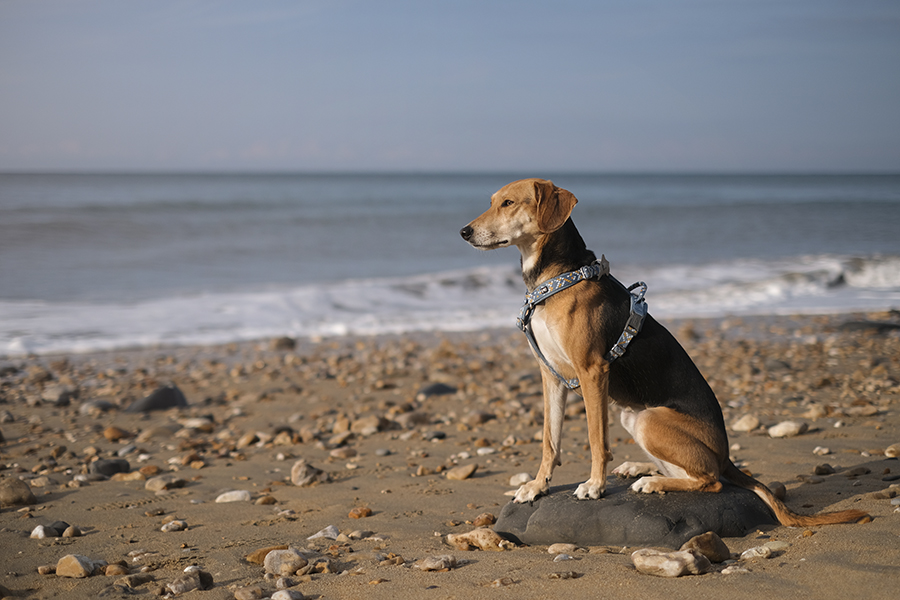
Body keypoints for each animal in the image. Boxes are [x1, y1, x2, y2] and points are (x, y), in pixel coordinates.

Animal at [460, 177, 868, 524]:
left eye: (508, 203)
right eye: (492, 201)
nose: (464, 232)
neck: (557, 278)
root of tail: (727, 456)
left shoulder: (592, 372)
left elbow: (596, 439)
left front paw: (595, 485)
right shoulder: (551, 376)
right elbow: (550, 440)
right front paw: (537, 486)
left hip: (649, 419)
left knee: (710, 480)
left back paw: (652, 481)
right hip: (633, 416)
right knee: (694, 471)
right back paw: (639, 469)